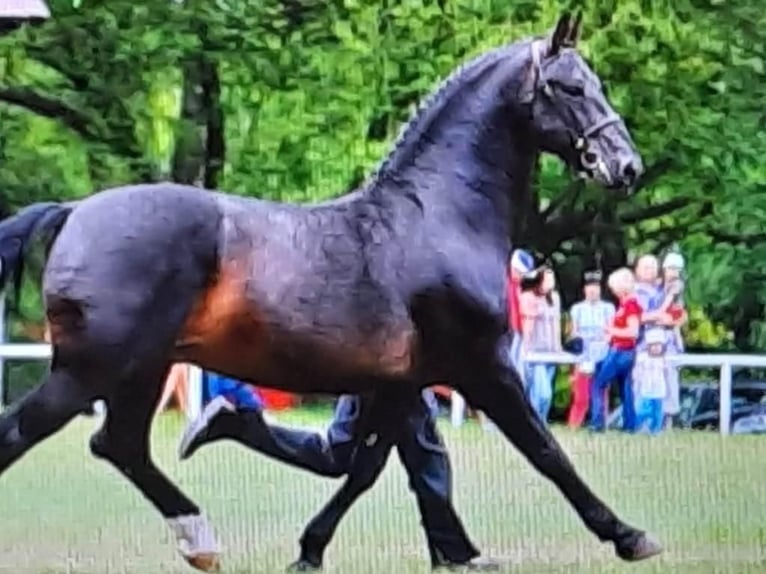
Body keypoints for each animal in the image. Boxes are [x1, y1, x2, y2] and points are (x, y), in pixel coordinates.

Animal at [0, 11, 660, 572]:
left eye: (594, 83)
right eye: (569, 87)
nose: (625, 166)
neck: (437, 216)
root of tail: (74, 212)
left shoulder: (400, 383)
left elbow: (364, 468)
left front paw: (314, 549)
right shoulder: (483, 366)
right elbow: (546, 450)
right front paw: (629, 535)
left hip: (141, 370)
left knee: (120, 445)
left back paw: (201, 535)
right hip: (94, 370)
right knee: (33, 435)